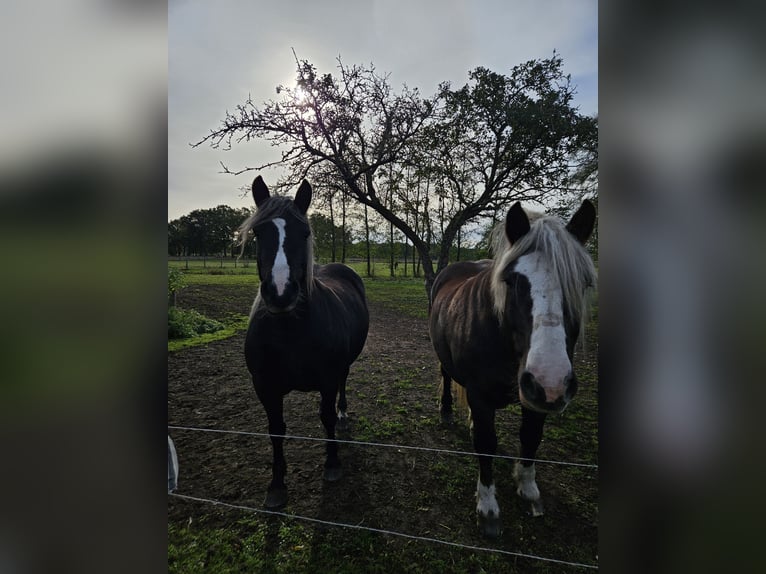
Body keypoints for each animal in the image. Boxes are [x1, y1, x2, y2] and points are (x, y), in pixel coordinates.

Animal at [241, 176, 369, 509]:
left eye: (305, 232)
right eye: (258, 233)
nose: (280, 293)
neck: (290, 332)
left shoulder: (327, 378)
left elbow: (326, 416)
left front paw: (332, 463)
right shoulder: (265, 387)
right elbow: (276, 430)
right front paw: (276, 484)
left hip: (343, 368)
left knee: (342, 387)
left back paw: (344, 416)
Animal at [429, 200, 596, 538]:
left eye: (583, 283)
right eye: (512, 280)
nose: (551, 380)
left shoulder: (536, 398)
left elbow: (530, 437)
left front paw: (529, 489)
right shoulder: (481, 397)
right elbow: (486, 444)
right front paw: (488, 507)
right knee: (446, 377)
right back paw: (447, 412)